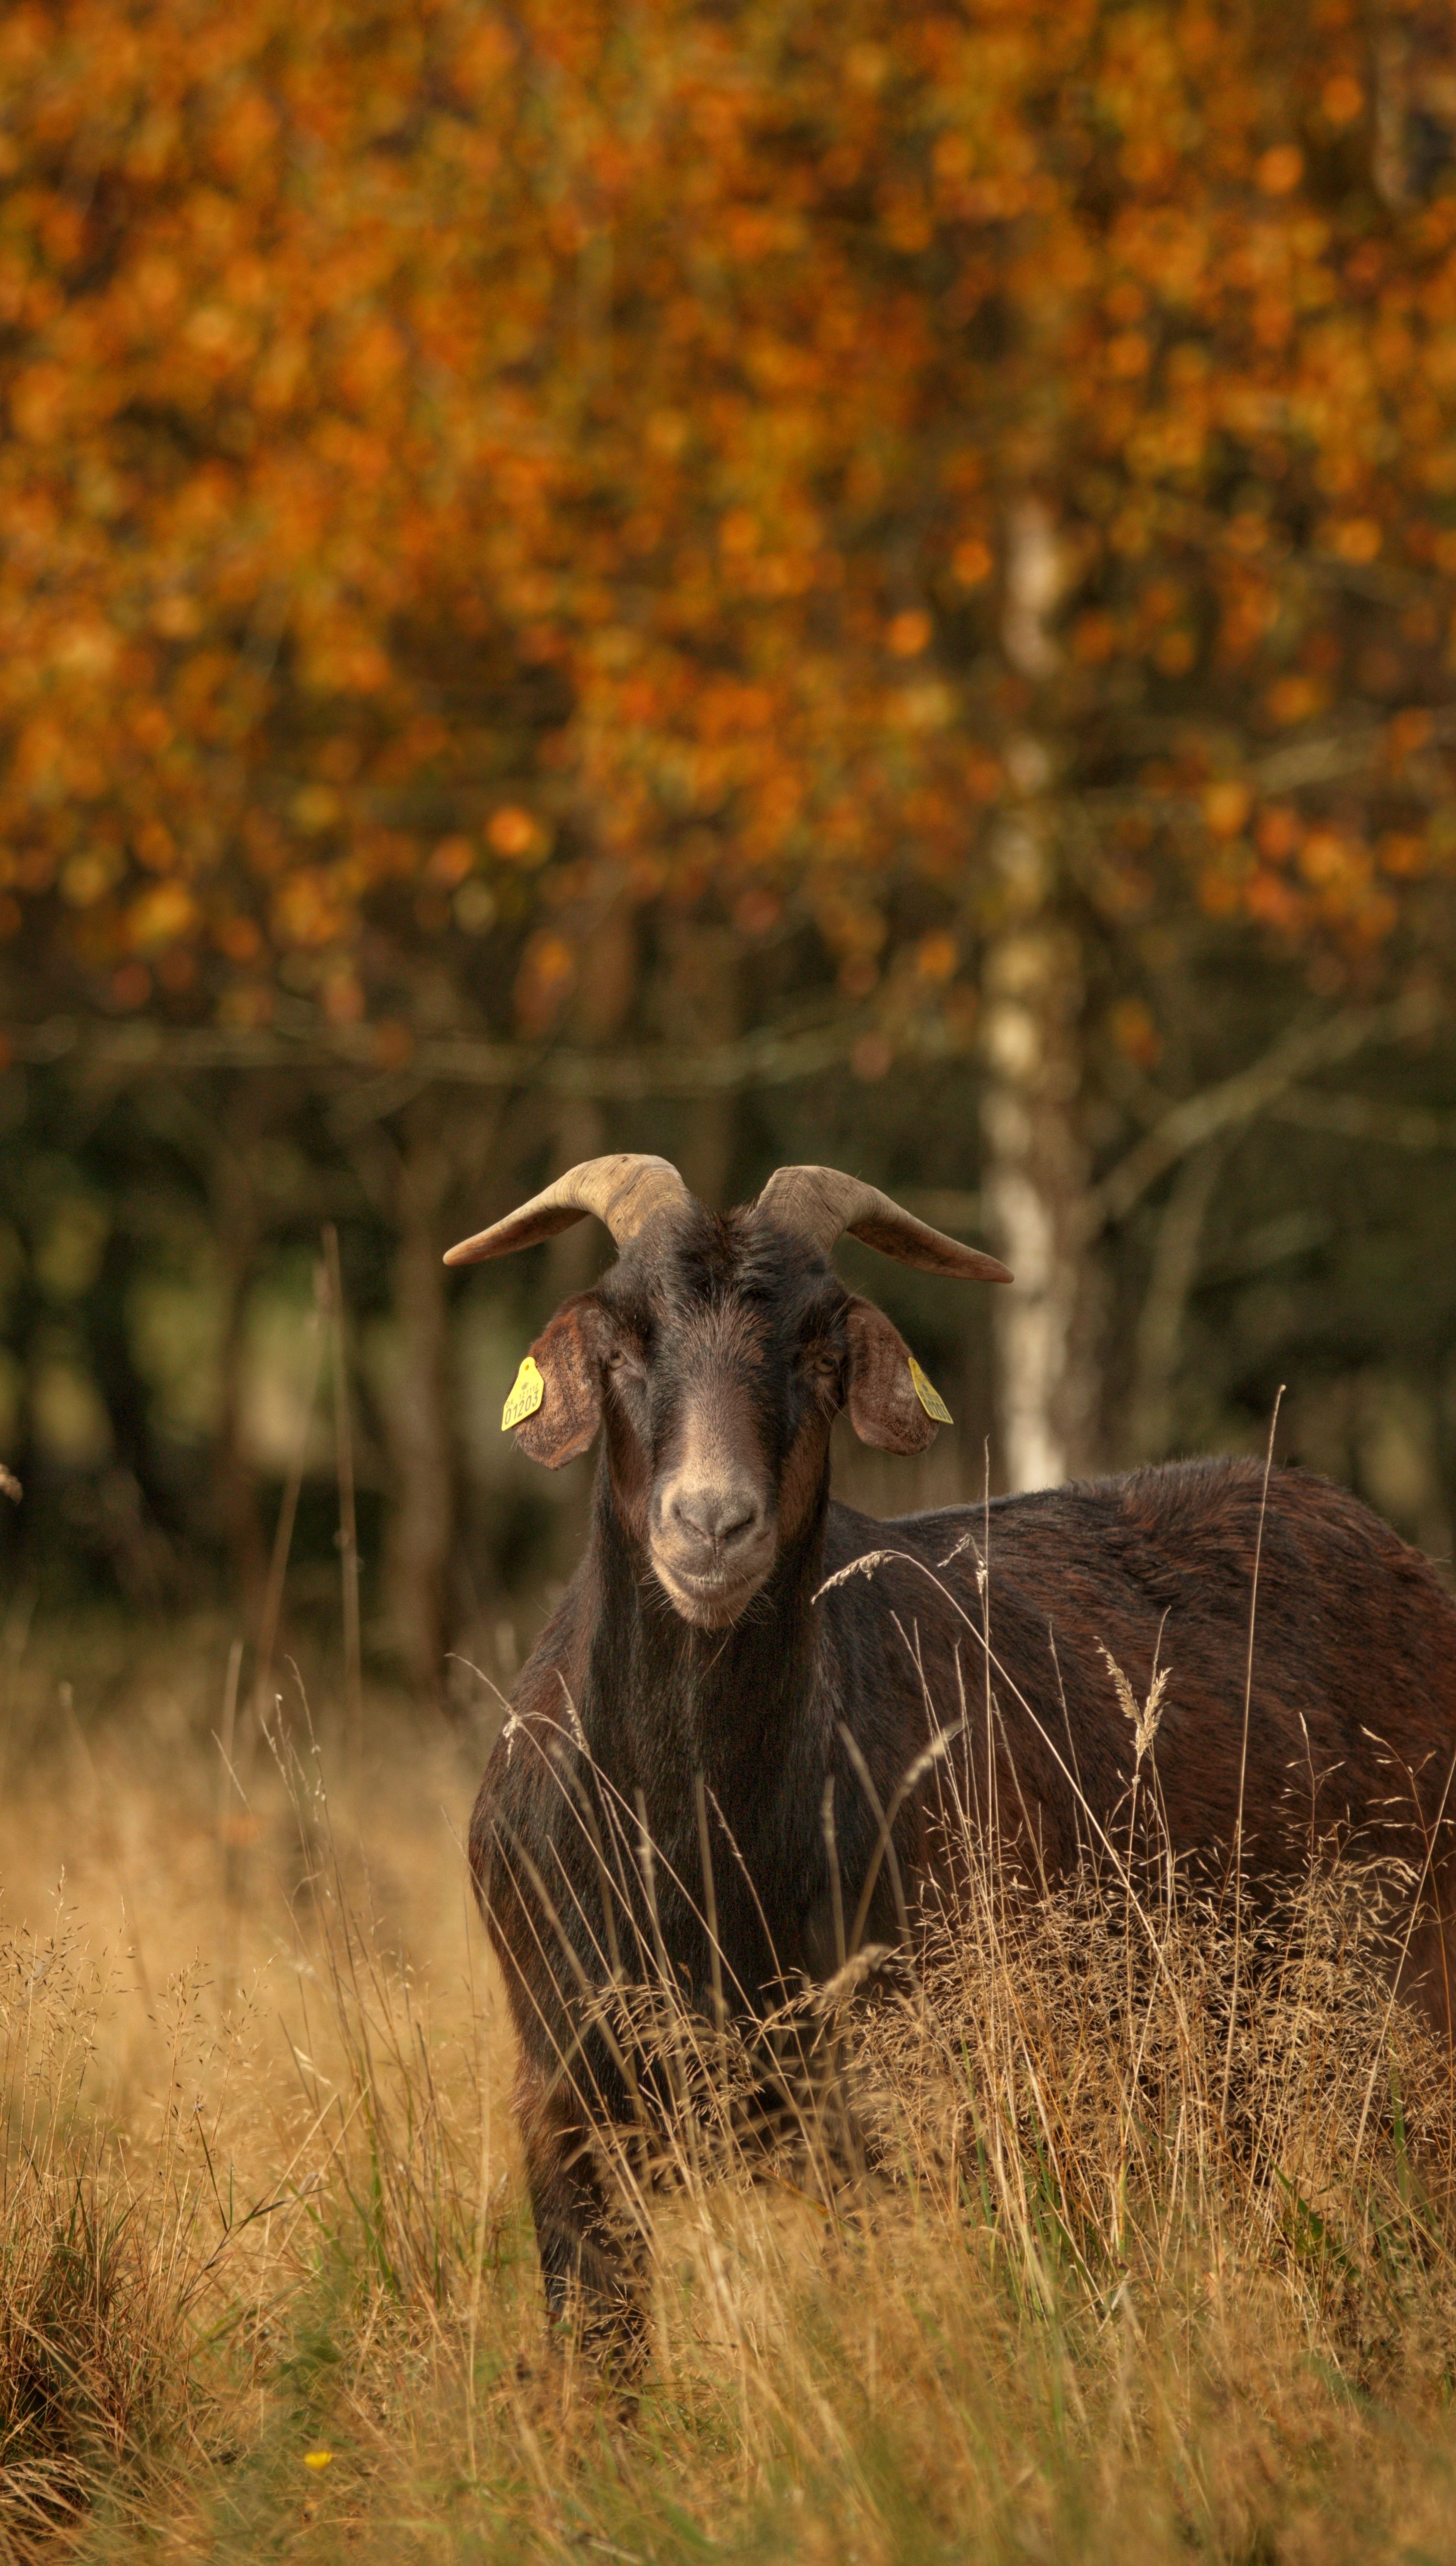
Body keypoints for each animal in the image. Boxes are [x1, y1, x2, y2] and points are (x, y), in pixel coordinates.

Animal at [449, 1153, 1456, 2357]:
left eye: (821, 1352)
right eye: (620, 1344)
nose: (710, 1526)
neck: (697, 1846)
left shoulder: (907, 2105)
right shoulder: (566, 2106)